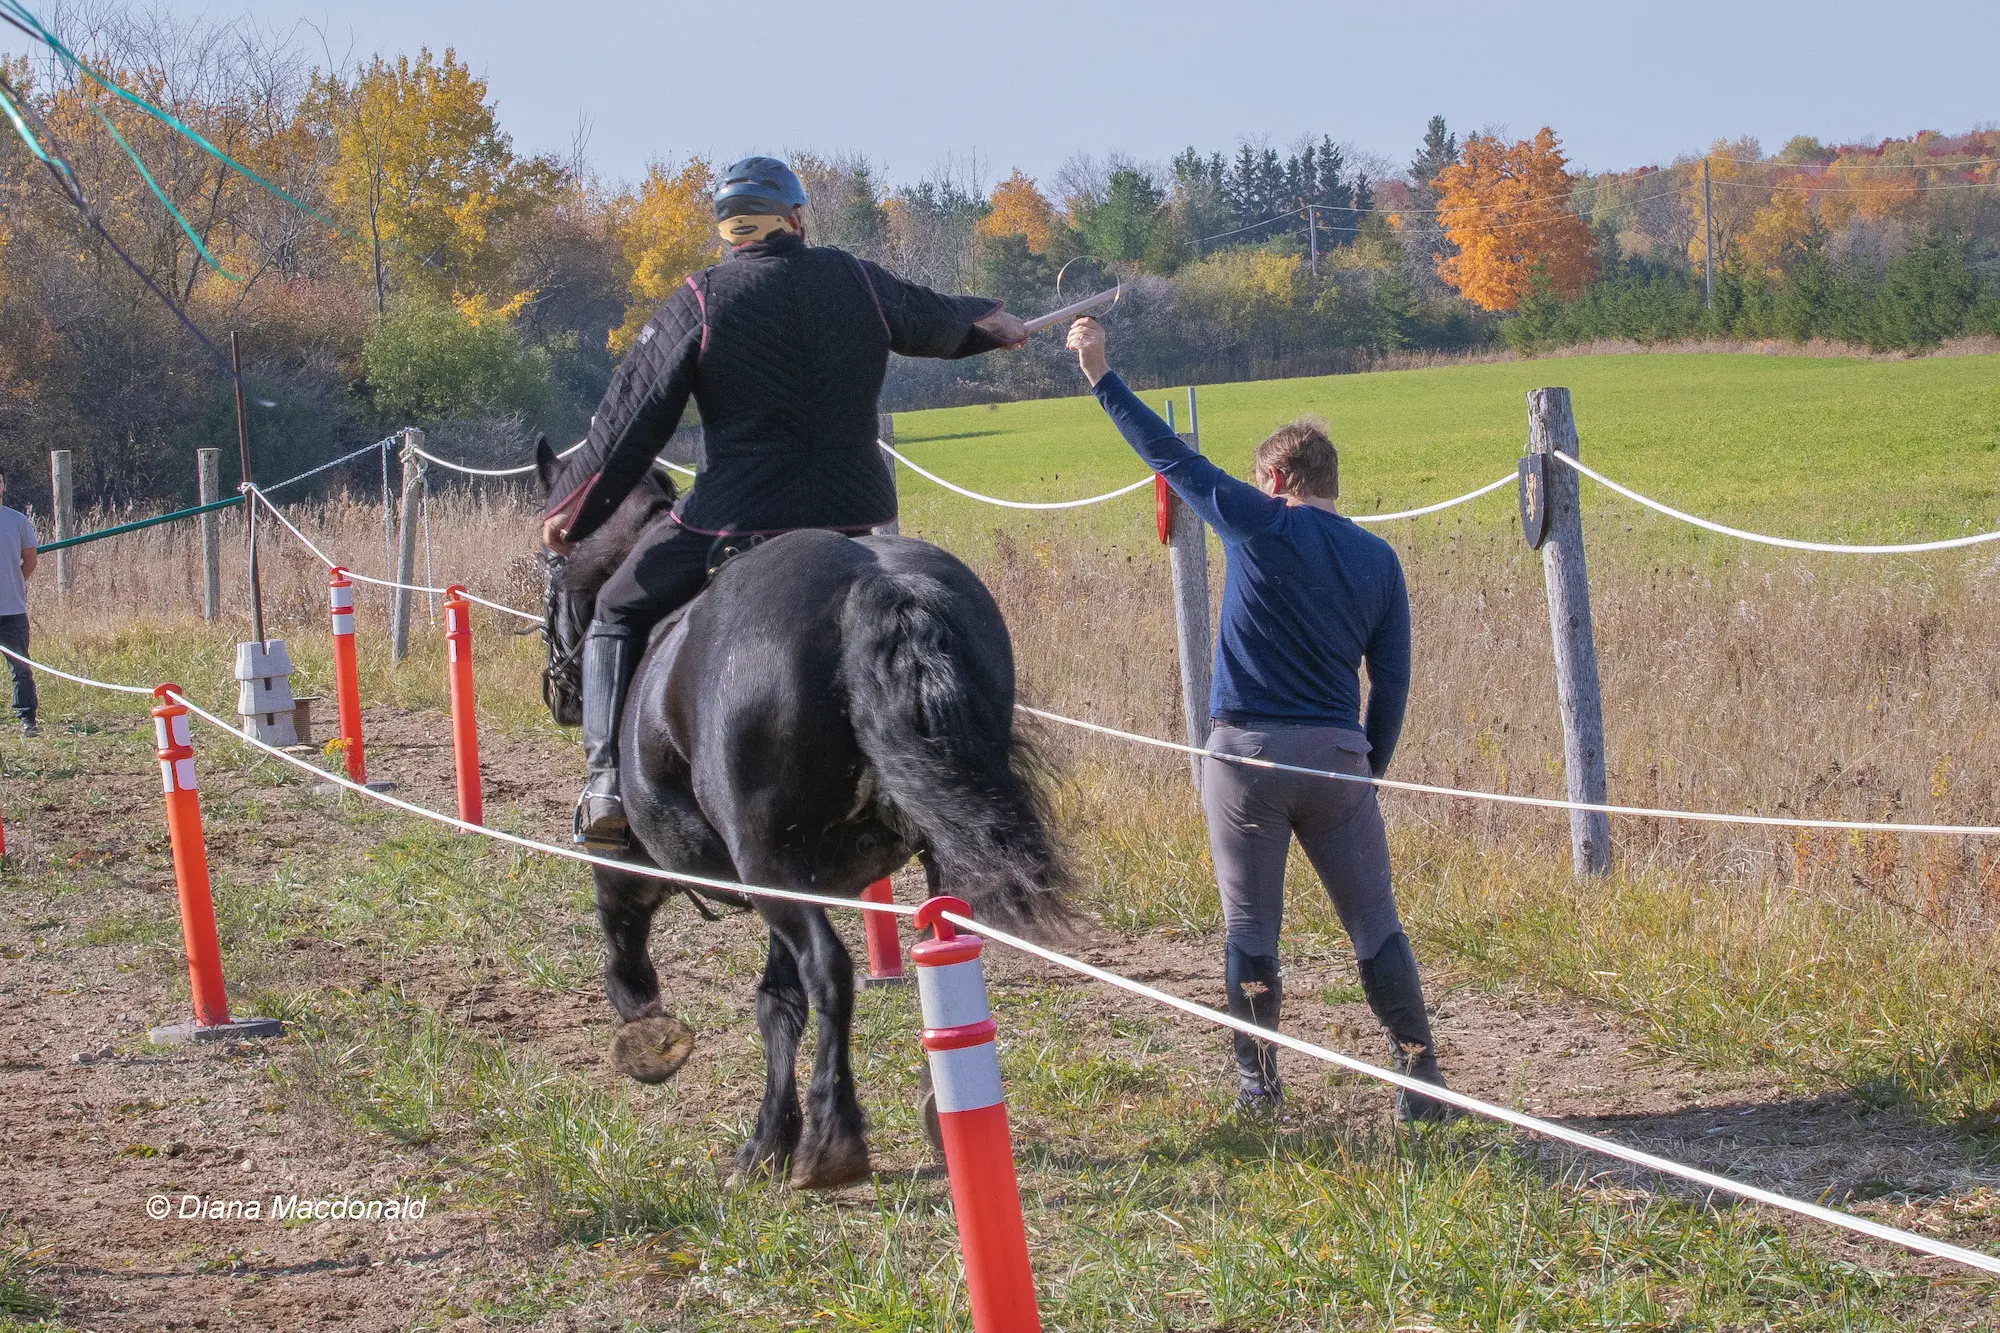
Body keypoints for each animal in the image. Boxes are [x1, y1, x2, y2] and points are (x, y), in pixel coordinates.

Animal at [528, 444, 1064, 1184]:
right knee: (941, 957)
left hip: (766, 861)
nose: (557, 692)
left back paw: (833, 1139)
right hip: (919, 857)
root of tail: (876, 587)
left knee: (829, 971)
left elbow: (624, 932)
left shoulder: (639, 858)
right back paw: (937, 1112)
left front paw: (648, 1035)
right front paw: (768, 1137)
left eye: (547, 568)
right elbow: (775, 1002)